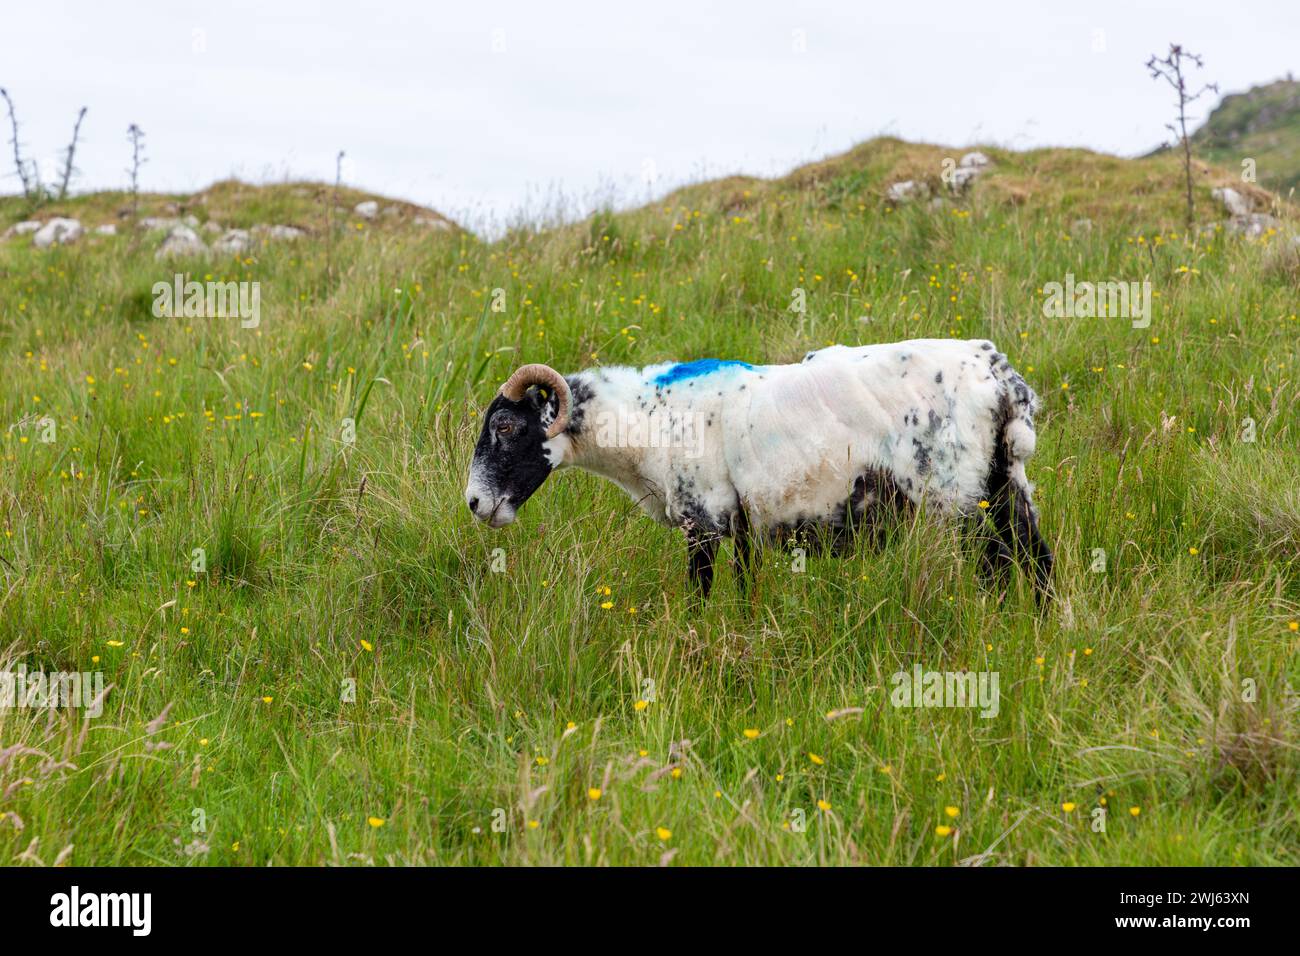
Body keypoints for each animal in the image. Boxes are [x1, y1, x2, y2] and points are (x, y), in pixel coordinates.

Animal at [462, 340, 1050, 600]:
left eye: (507, 426)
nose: (474, 503)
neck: (646, 418)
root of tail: (998, 375)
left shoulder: (702, 519)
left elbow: (699, 594)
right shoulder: (742, 522)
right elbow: (747, 585)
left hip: (955, 491)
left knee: (996, 564)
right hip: (1004, 479)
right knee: (1035, 557)